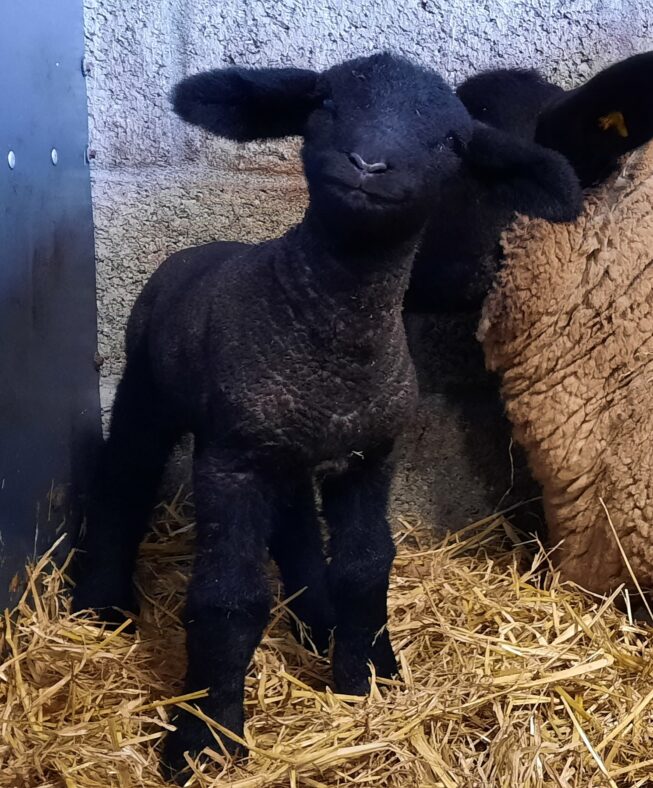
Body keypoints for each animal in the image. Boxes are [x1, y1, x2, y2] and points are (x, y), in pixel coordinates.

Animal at [70, 52, 581, 780]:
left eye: (451, 142)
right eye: (324, 102)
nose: (369, 164)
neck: (331, 326)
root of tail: (199, 250)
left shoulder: (368, 457)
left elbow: (365, 566)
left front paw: (359, 681)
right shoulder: (233, 459)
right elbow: (226, 599)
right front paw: (204, 738)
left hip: (285, 453)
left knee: (296, 533)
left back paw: (317, 622)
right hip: (149, 390)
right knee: (125, 479)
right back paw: (102, 604)